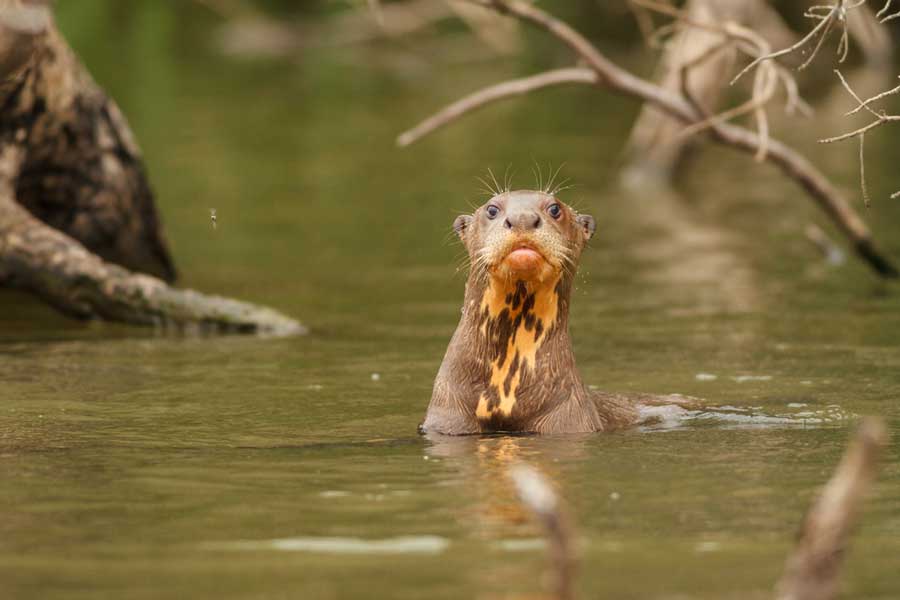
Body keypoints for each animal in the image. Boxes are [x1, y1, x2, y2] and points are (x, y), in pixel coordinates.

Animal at [422, 190, 688, 434]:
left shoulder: (567, 421)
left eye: (554, 209)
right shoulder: (448, 419)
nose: (522, 218)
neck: (505, 393)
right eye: (492, 209)